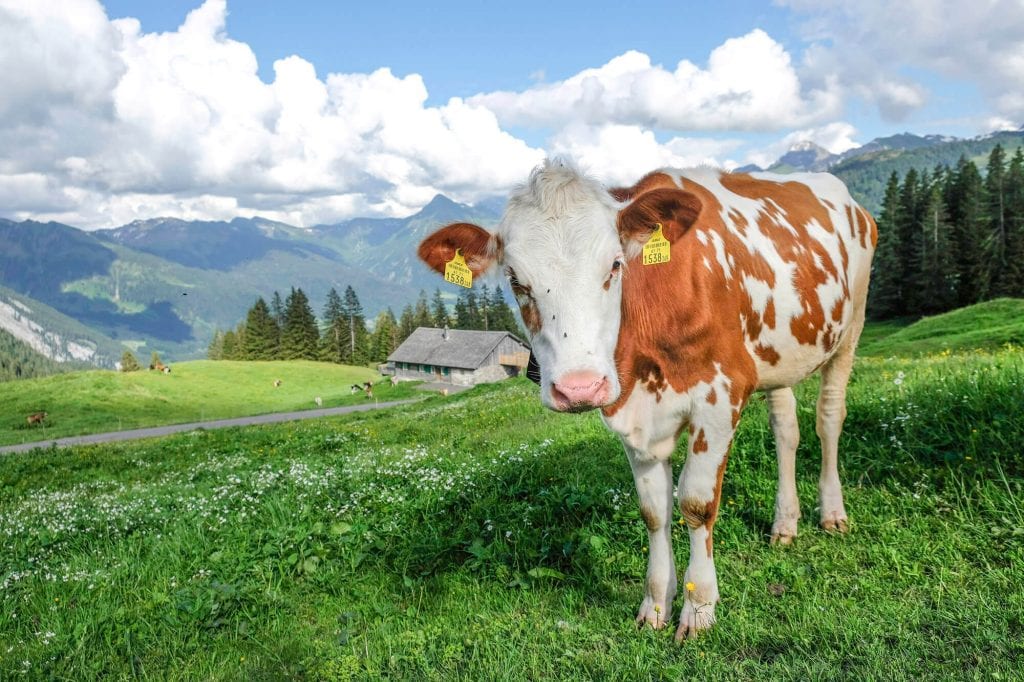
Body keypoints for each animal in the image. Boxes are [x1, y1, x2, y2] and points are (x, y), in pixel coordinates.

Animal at [419, 157, 876, 638]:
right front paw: (656, 604)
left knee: (829, 418)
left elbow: (696, 503)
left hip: (852, 325)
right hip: (778, 356)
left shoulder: (722, 395)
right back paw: (785, 524)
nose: (579, 388)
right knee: (786, 429)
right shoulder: (633, 412)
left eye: (615, 265)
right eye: (514, 280)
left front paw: (698, 607)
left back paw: (832, 513)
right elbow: (654, 510)